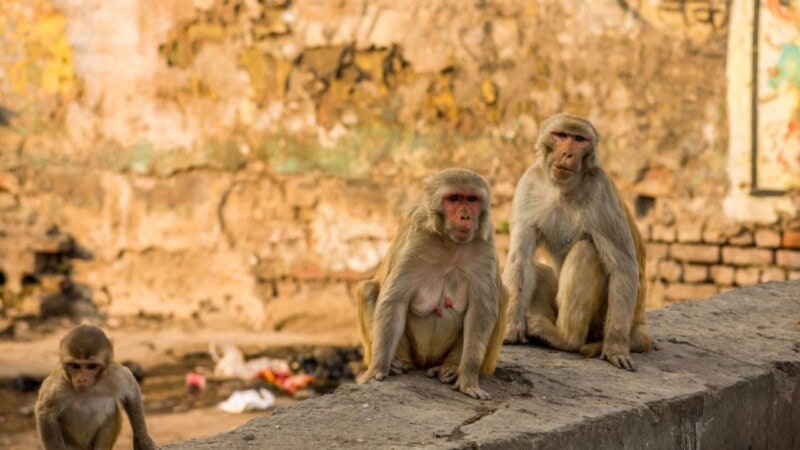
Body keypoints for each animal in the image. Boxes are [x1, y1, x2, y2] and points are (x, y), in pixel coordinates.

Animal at [357, 168, 508, 400]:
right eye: (454, 199)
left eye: (472, 199)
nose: (466, 216)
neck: (451, 244)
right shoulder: (415, 237)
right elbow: (395, 302)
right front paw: (377, 369)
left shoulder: (486, 242)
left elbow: (481, 311)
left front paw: (468, 380)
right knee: (368, 289)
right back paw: (397, 362)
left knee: (502, 297)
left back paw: (451, 367)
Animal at [502, 113, 651, 371]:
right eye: (561, 135)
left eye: (579, 139)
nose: (567, 153)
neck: (563, 190)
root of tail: (637, 325)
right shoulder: (529, 184)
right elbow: (520, 259)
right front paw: (511, 326)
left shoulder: (601, 194)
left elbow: (623, 268)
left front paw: (615, 347)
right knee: (536, 268)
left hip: (601, 320)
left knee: (585, 251)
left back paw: (565, 338)